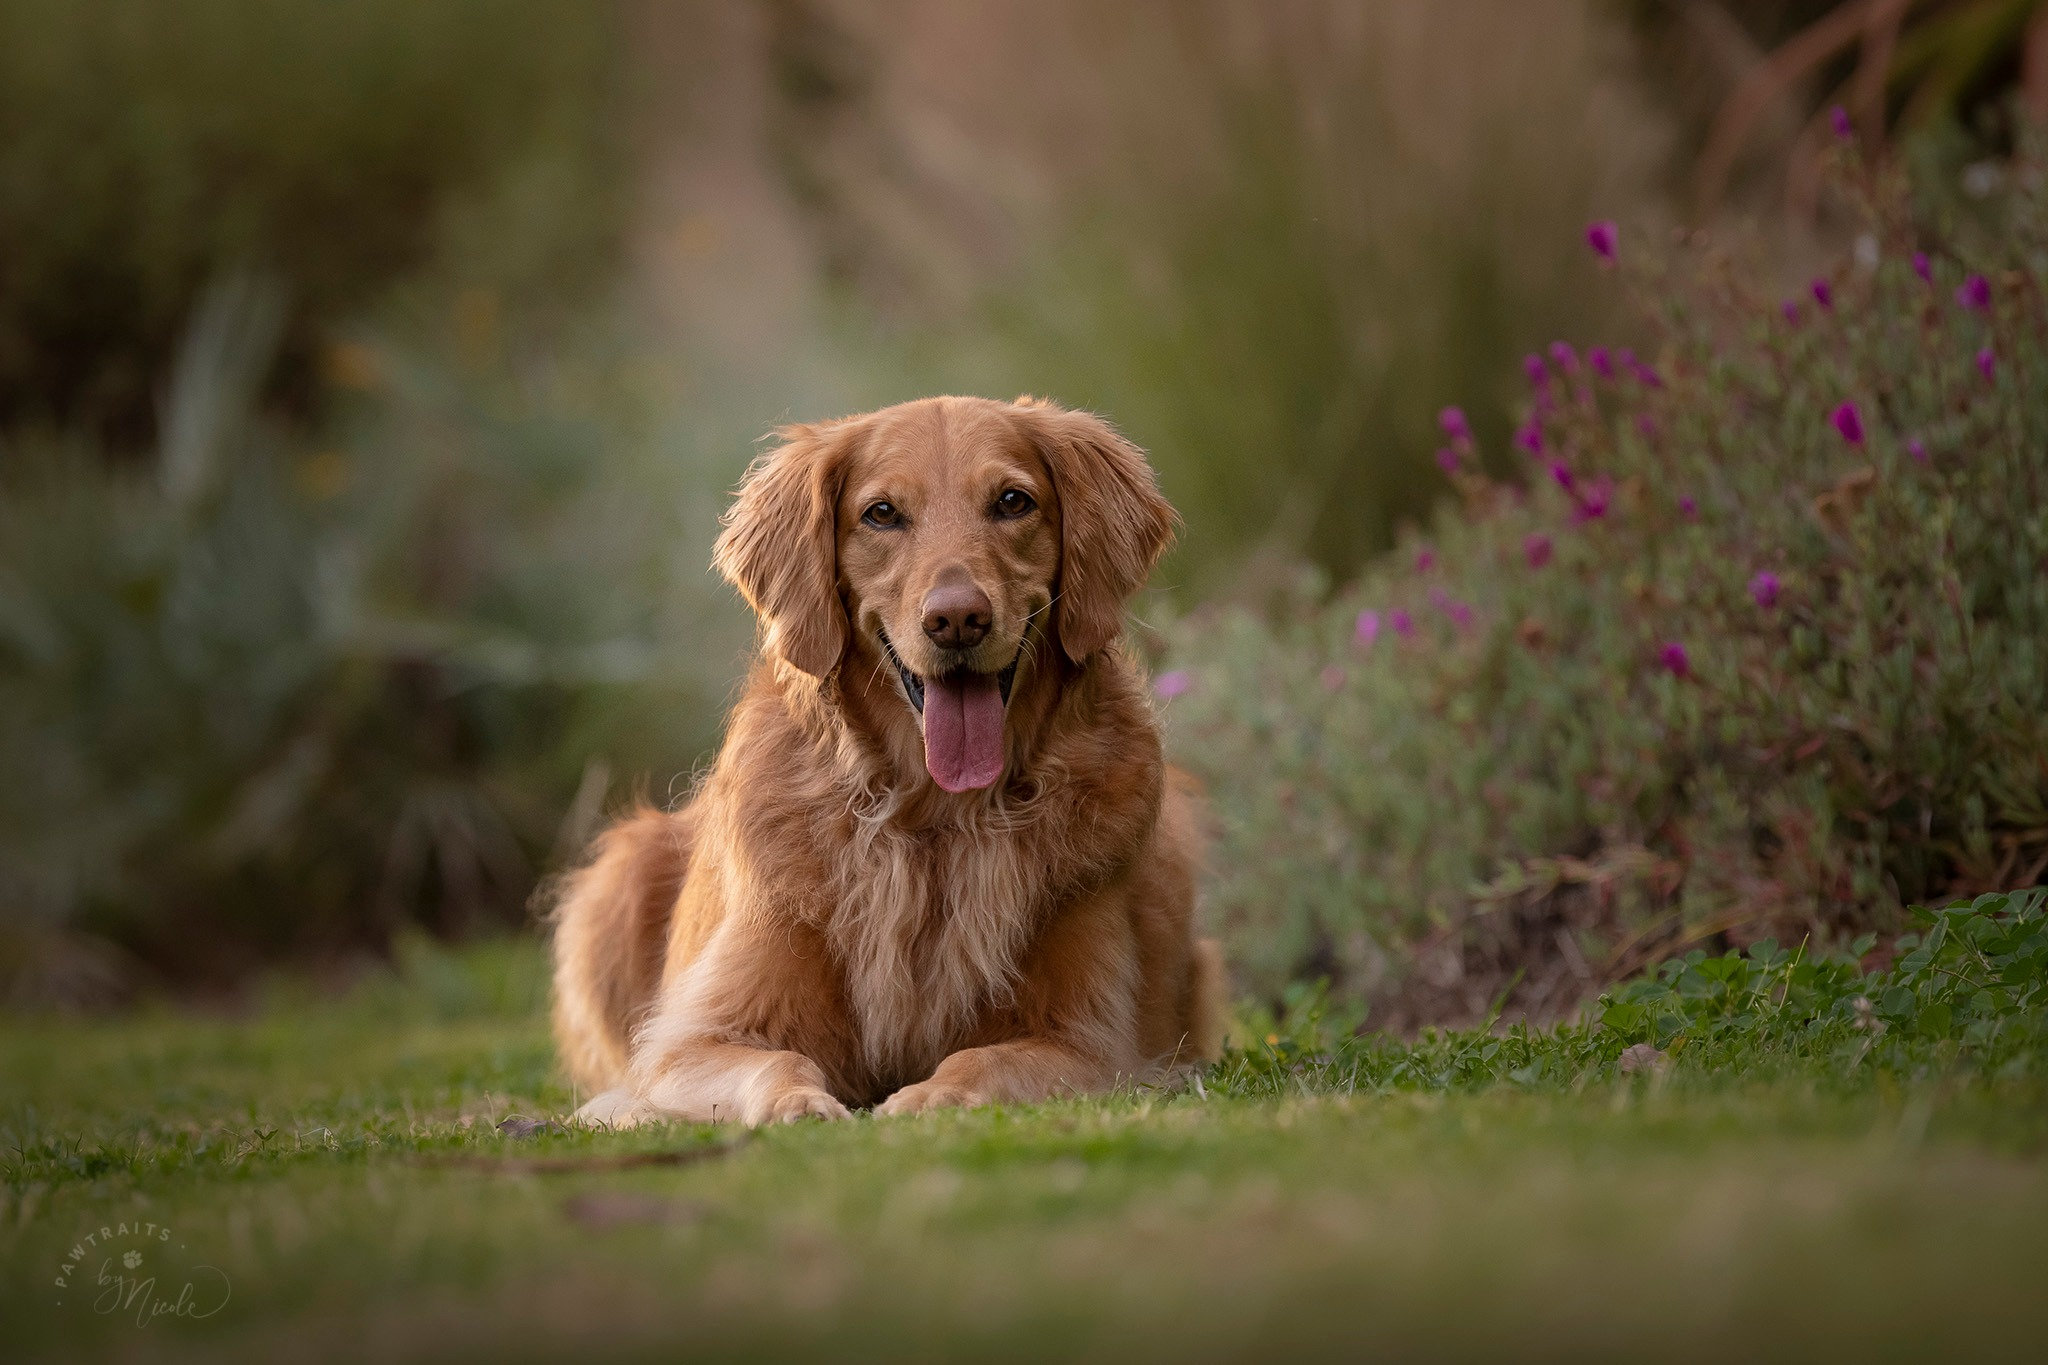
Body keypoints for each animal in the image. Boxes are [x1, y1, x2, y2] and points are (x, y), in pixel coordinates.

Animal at [548, 392, 1212, 1121]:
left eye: (1013, 501)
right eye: (882, 513)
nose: (958, 619)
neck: (935, 817)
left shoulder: (1093, 1044)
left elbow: (982, 1059)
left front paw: (927, 1096)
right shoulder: (689, 1043)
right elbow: (775, 1060)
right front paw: (795, 1105)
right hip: (617, 872)